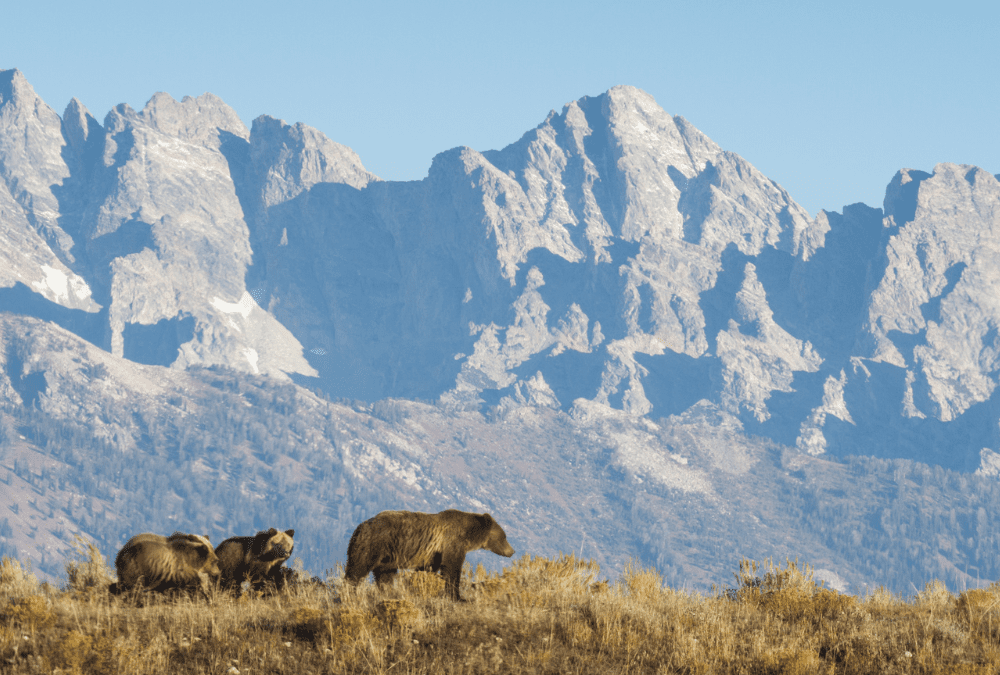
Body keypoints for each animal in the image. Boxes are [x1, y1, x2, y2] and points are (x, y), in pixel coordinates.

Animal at [345, 509, 514, 600]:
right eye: (504, 536)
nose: (512, 551)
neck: (468, 534)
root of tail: (360, 526)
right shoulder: (452, 542)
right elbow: (452, 569)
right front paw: (458, 597)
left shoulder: (433, 554)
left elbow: (428, 570)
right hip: (374, 545)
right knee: (358, 568)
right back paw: (349, 593)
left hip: (388, 556)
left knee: (385, 576)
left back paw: (389, 593)